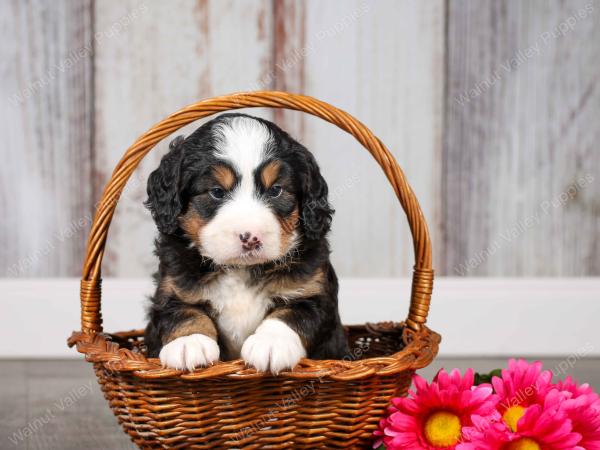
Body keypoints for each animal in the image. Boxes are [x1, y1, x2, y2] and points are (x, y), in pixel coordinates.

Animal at [144, 112, 350, 372]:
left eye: (276, 190)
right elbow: (183, 312)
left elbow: (291, 315)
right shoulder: (172, 288)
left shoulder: (313, 292)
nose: (250, 238)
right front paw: (189, 343)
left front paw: (271, 343)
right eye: (216, 191)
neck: (241, 270)